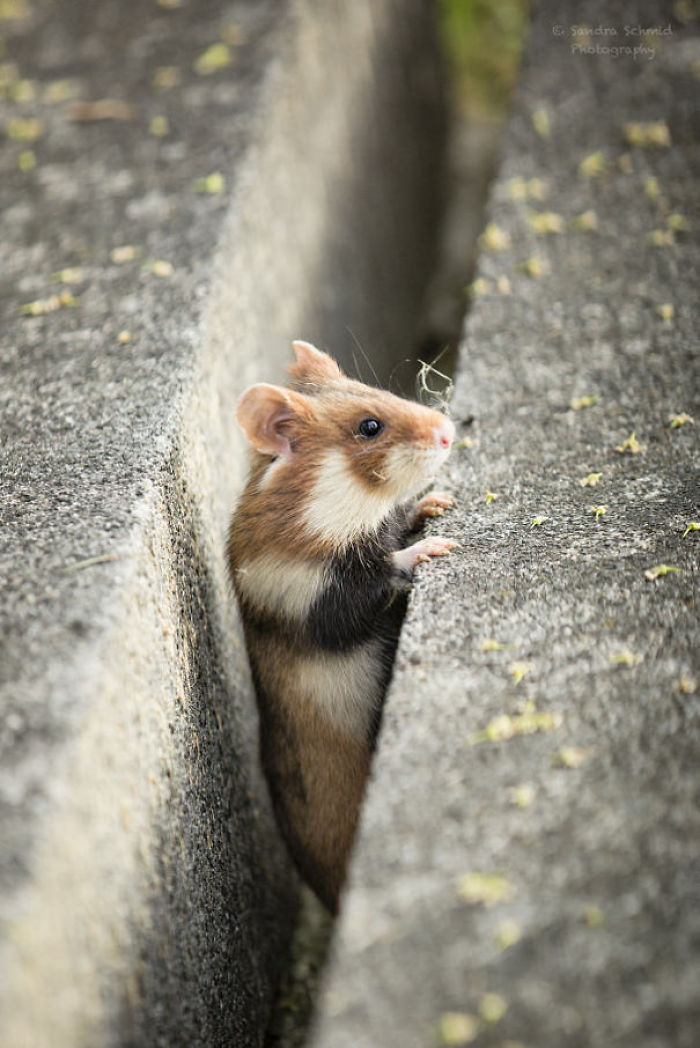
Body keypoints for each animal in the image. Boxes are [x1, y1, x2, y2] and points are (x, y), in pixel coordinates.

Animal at [227, 340, 456, 913]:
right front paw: (432, 547)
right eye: (369, 426)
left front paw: (436, 503)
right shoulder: (321, 600)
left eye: (372, 388)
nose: (449, 429)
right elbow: (384, 573)